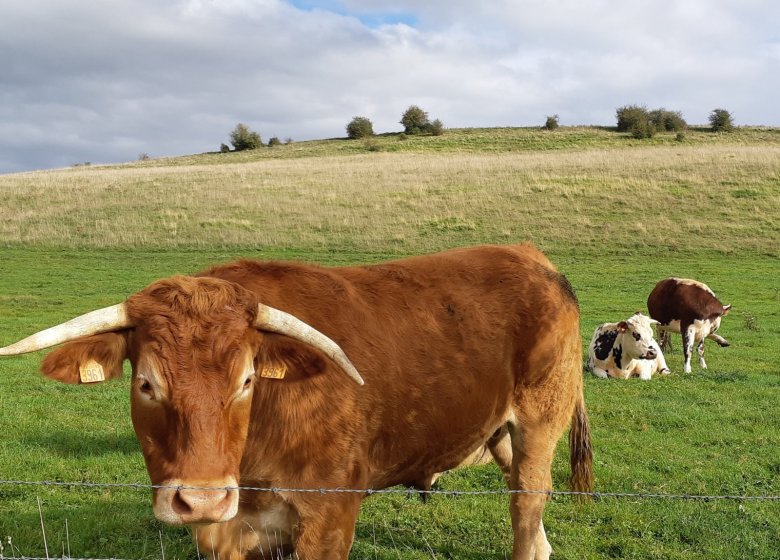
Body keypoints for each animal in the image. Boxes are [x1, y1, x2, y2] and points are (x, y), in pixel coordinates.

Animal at [0, 244, 592, 560]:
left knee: (526, 503)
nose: (201, 498)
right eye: (146, 383)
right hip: (498, 430)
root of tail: (533, 257)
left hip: (540, 422)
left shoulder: (329, 517)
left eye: (246, 380)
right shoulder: (228, 535)